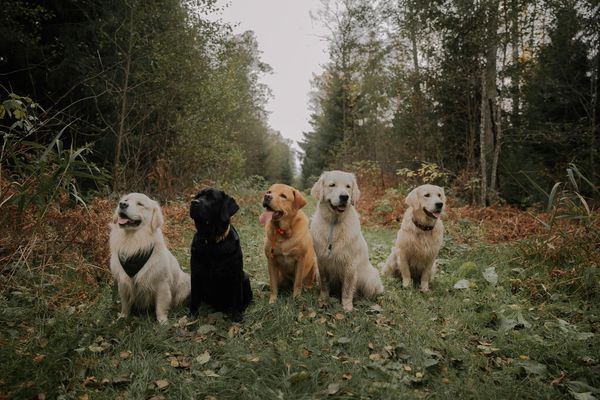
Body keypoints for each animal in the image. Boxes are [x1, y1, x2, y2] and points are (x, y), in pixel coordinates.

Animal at [109, 192, 190, 324]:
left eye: (140, 204)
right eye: (126, 200)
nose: (122, 204)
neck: (133, 242)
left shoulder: (161, 283)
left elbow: (161, 306)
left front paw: (162, 322)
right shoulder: (123, 282)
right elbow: (125, 303)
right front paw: (123, 316)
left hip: (185, 282)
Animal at [190, 188, 251, 322]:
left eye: (212, 198)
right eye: (197, 196)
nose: (194, 202)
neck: (212, 242)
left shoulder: (235, 275)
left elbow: (236, 298)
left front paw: (236, 316)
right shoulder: (195, 274)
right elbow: (194, 297)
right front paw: (192, 315)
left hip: (245, 276)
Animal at [310, 170, 384, 310]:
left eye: (348, 186)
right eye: (332, 185)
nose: (344, 197)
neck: (334, 223)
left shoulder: (350, 264)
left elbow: (347, 289)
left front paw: (347, 306)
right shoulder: (321, 262)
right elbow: (324, 284)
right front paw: (323, 299)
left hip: (370, 278)